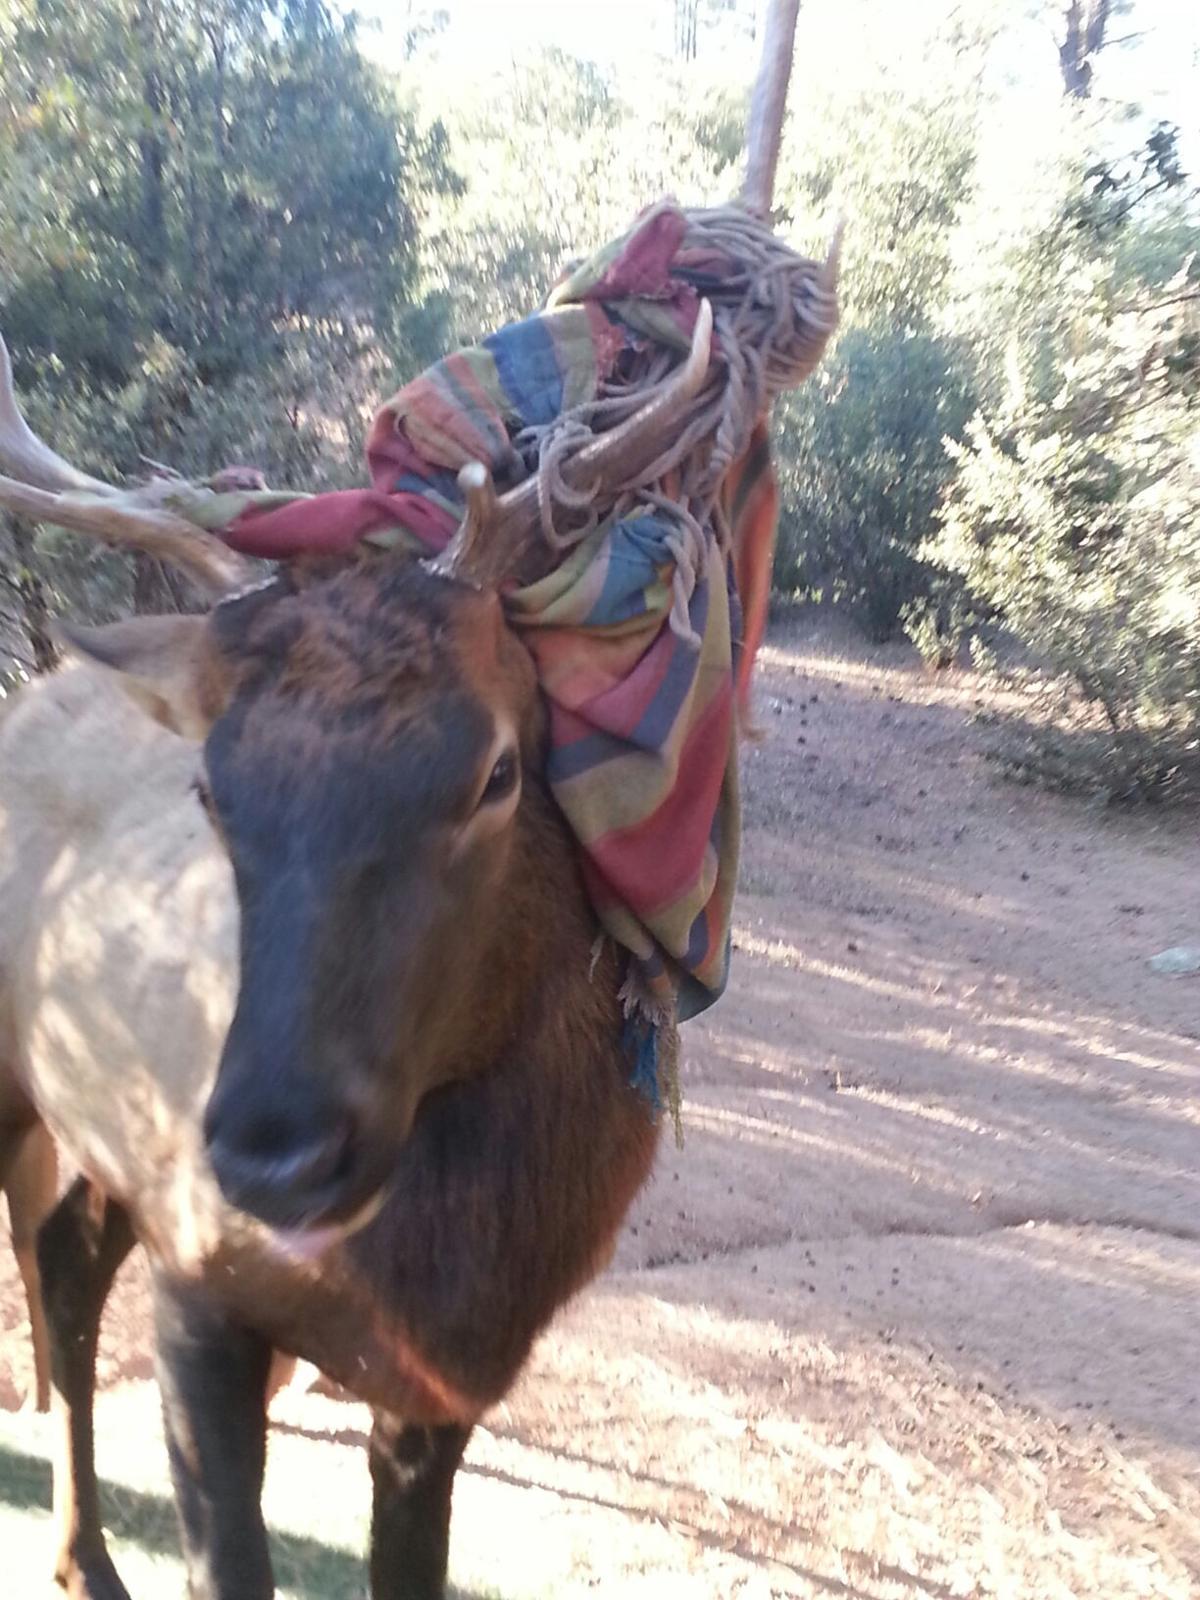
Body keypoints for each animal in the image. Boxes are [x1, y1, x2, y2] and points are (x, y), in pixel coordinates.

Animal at [0, 309, 724, 1600]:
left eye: (499, 770)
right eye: (211, 784)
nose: (278, 1154)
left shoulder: (451, 1379)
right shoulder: (200, 1281)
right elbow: (228, 1562)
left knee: (70, 1274)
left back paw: (85, 1557)